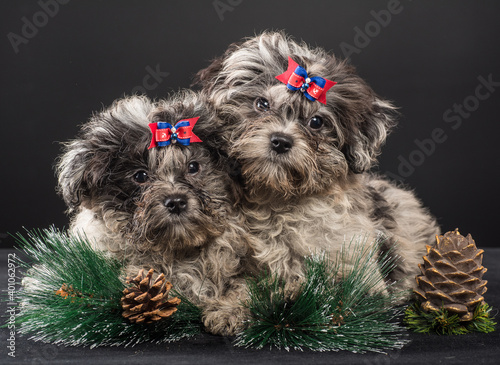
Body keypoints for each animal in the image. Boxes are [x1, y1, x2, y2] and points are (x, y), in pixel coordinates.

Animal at [56, 90, 254, 332]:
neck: (175, 250)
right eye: (140, 176)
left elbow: (243, 286)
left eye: (193, 167)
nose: (176, 202)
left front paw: (227, 311)